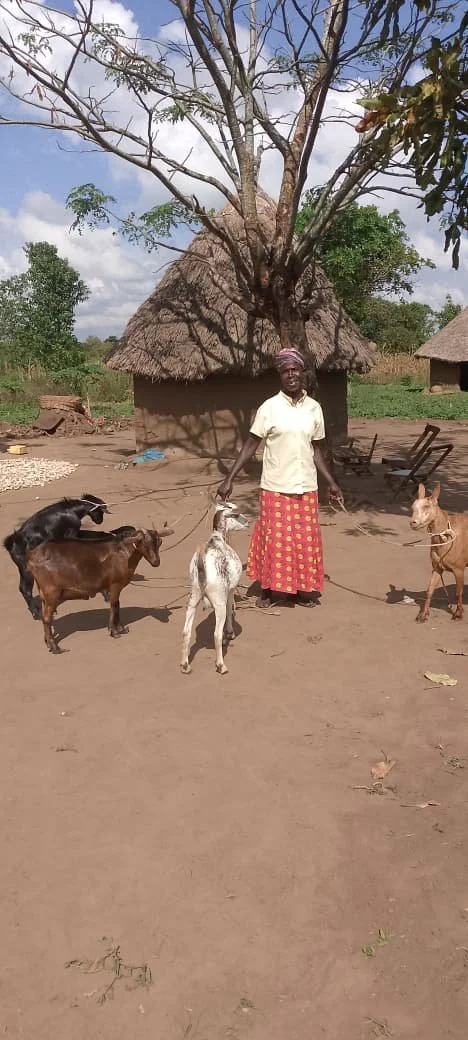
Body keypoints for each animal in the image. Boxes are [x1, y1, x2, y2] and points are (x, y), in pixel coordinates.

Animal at [27, 528, 171, 653]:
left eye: (159, 542)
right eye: (143, 542)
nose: (156, 562)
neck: (124, 552)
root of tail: (32, 556)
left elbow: (117, 605)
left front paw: (121, 628)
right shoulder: (115, 584)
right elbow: (114, 605)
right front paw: (114, 632)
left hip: (43, 594)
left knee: (45, 617)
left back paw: (48, 642)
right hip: (51, 593)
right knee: (47, 618)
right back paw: (56, 648)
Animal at [181, 503, 248, 675]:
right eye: (236, 515)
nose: (247, 522)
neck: (218, 537)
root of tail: (202, 559)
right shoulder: (230, 590)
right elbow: (230, 610)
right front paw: (229, 634)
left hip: (193, 596)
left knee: (186, 631)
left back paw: (185, 665)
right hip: (218, 601)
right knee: (216, 634)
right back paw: (221, 665)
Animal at [410, 482, 468, 622]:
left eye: (426, 506)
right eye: (412, 507)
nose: (413, 523)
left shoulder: (459, 568)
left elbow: (458, 592)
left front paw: (458, 614)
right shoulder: (437, 567)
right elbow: (429, 590)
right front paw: (423, 615)